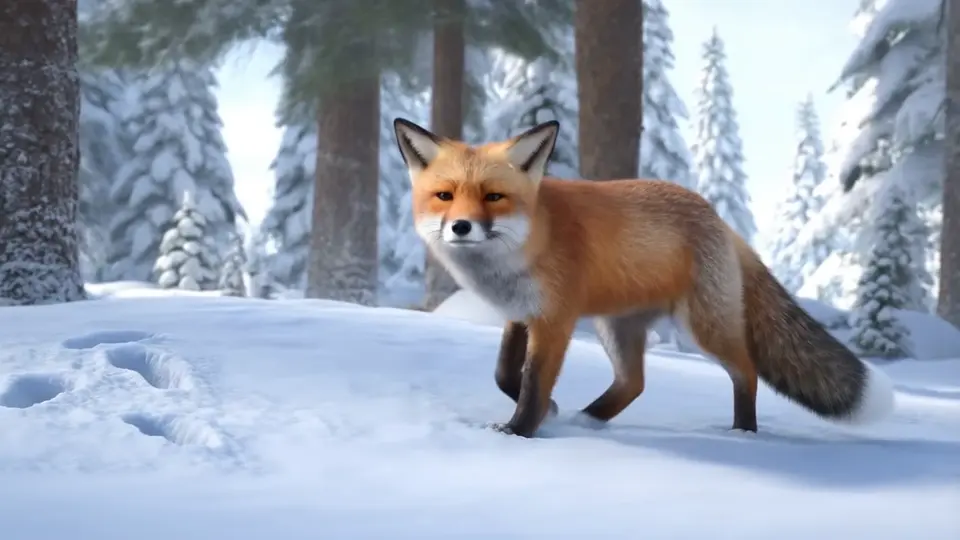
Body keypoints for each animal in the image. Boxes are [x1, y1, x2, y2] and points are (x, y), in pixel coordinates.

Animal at [392, 117, 896, 439]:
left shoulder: (555, 319)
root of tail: (717, 217)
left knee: (746, 371)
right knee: (634, 384)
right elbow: (502, 373)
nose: (461, 227)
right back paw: (588, 420)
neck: (524, 246)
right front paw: (549, 412)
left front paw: (519, 431)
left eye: (493, 197)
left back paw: (742, 433)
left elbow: (534, 383)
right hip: (617, 328)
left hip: (702, 328)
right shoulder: (520, 314)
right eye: (444, 196)